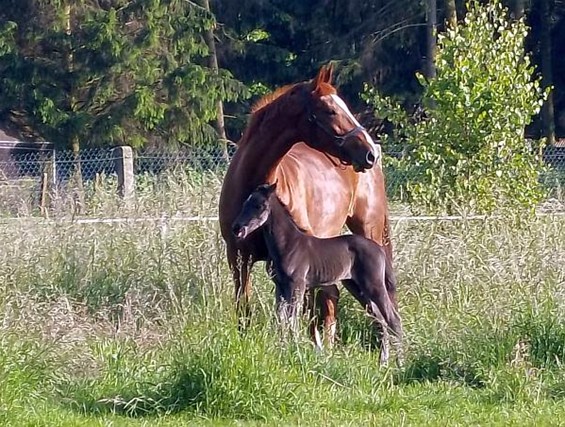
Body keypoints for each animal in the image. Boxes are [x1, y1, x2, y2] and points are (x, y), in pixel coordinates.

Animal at [218, 66, 394, 348]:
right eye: (331, 110)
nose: (369, 153)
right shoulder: (238, 257)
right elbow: (245, 307)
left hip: (369, 232)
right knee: (331, 296)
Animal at [230, 183, 400, 364]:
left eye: (260, 206)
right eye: (245, 203)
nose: (237, 228)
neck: (288, 244)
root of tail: (379, 249)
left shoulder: (297, 285)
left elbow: (293, 319)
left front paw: (295, 351)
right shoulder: (280, 286)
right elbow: (281, 318)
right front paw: (282, 349)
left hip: (374, 285)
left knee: (393, 319)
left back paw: (399, 363)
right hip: (357, 287)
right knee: (380, 320)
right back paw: (383, 362)